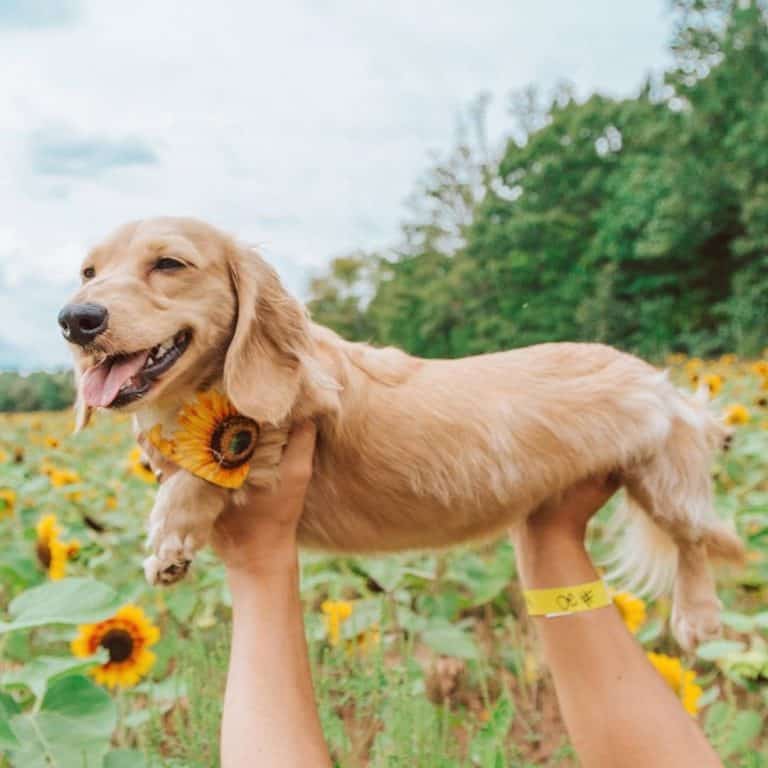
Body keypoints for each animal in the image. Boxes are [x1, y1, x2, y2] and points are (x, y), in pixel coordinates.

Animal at [60, 216, 744, 648]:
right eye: (88, 271)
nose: (75, 319)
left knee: (695, 542)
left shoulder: (293, 423)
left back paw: (698, 615)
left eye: (169, 263)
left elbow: (200, 479)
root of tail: (661, 382)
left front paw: (170, 536)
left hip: (664, 484)